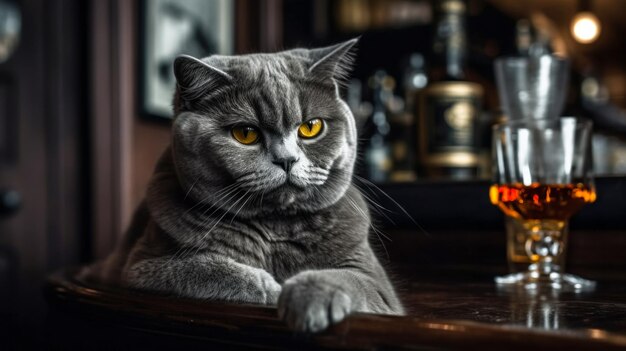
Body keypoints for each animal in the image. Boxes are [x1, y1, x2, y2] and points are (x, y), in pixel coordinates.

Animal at [93, 38, 404, 332]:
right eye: (245, 133)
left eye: (311, 127)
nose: (287, 159)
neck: (275, 229)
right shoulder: (142, 266)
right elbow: (209, 268)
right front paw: (275, 290)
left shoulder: (377, 285)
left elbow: (350, 279)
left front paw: (307, 297)